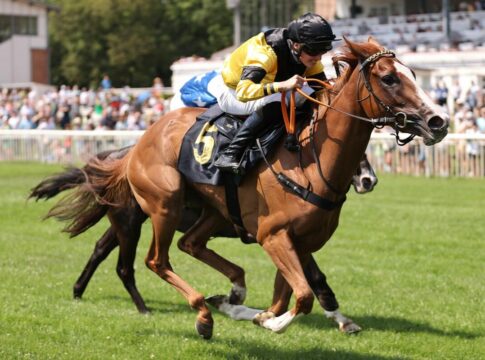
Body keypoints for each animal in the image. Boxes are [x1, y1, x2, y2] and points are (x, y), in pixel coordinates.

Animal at [70, 38, 448, 338]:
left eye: (414, 75)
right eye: (389, 78)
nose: (439, 121)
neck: (311, 159)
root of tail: (137, 144)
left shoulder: (300, 241)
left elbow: (289, 295)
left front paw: (247, 310)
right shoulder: (273, 235)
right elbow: (303, 295)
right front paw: (270, 321)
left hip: (209, 211)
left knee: (189, 243)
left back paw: (231, 291)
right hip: (162, 206)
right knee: (155, 260)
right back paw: (199, 313)